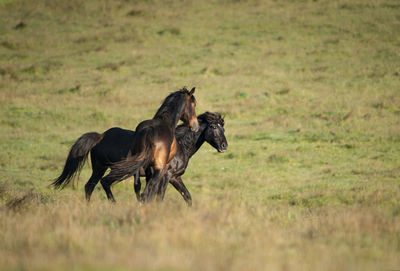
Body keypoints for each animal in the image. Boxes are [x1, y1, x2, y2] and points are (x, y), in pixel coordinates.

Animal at [49, 111, 228, 205]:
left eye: (223, 127)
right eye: (213, 126)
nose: (224, 146)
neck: (180, 145)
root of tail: (101, 136)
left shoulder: (175, 177)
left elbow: (188, 197)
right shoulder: (167, 175)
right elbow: (159, 197)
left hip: (100, 169)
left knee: (89, 186)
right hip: (105, 169)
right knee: (98, 184)